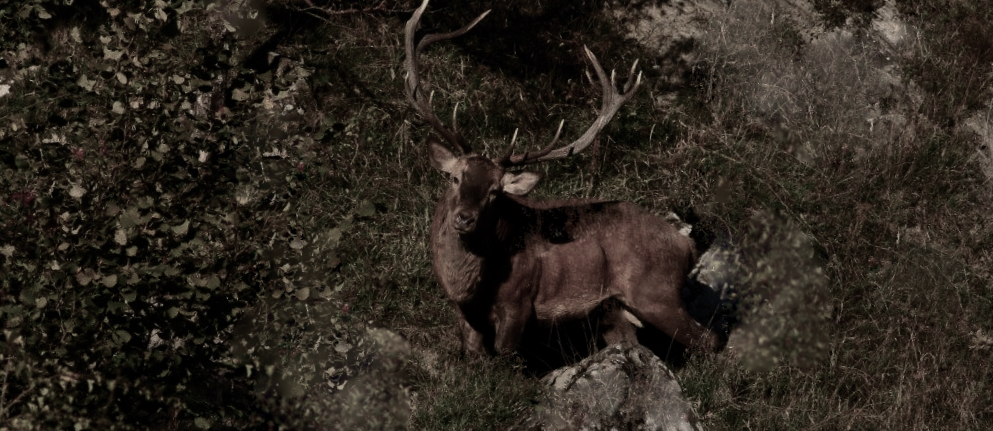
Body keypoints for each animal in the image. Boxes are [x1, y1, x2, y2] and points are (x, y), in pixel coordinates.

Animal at [405, 0, 724, 357]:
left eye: (495, 191)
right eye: (456, 178)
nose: (464, 218)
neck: (471, 288)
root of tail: (687, 244)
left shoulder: (520, 302)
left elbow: (506, 354)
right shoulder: (466, 314)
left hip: (657, 292)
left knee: (709, 339)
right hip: (614, 309)